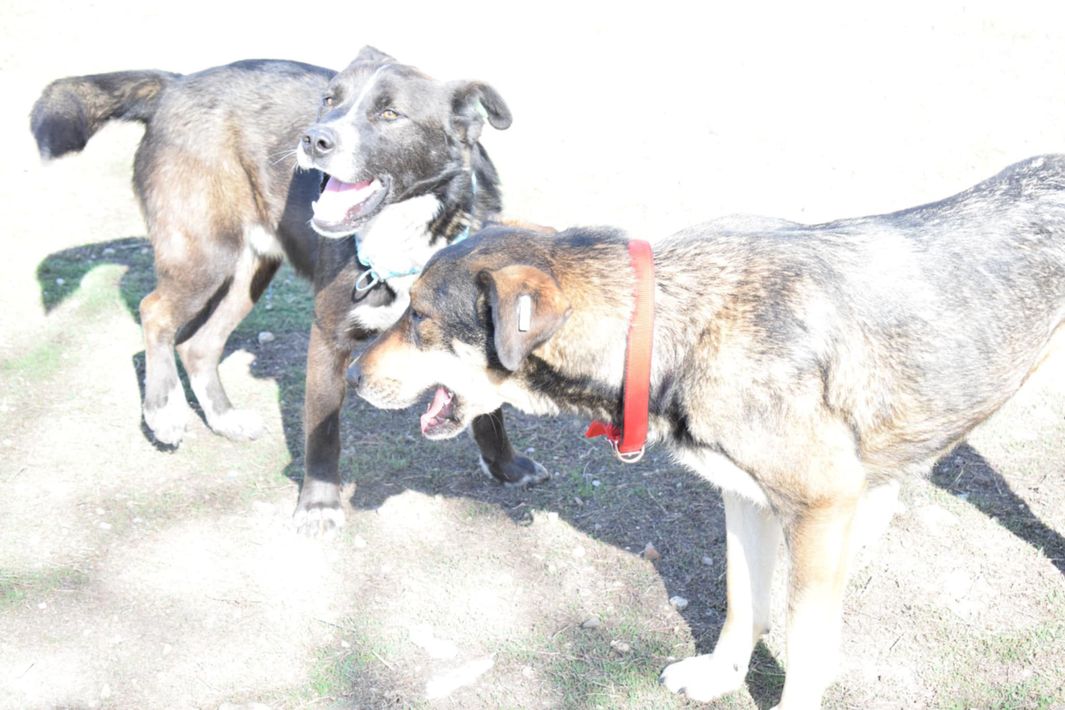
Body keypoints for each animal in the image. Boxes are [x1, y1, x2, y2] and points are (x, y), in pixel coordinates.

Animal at [30, 46, 546, 535]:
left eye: (389, 113)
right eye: (330, 100)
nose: (315, 138)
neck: (407, 236)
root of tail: (175, 84)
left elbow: (490, 406)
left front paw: (506, 465)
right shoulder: (328, 335)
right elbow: (323, 430)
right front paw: (318, 505)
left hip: (248, 273)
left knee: (198, 345)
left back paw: (224, 418)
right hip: (204, 253)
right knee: (155, 311)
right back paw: (164, 408)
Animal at [350, 155, 1065, 706]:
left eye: (418, 317)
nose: (352, 372)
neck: (667, 324)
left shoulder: (819, 507)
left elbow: (806, 646)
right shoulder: (746, 499)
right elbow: (741, 601)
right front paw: (722, 677)